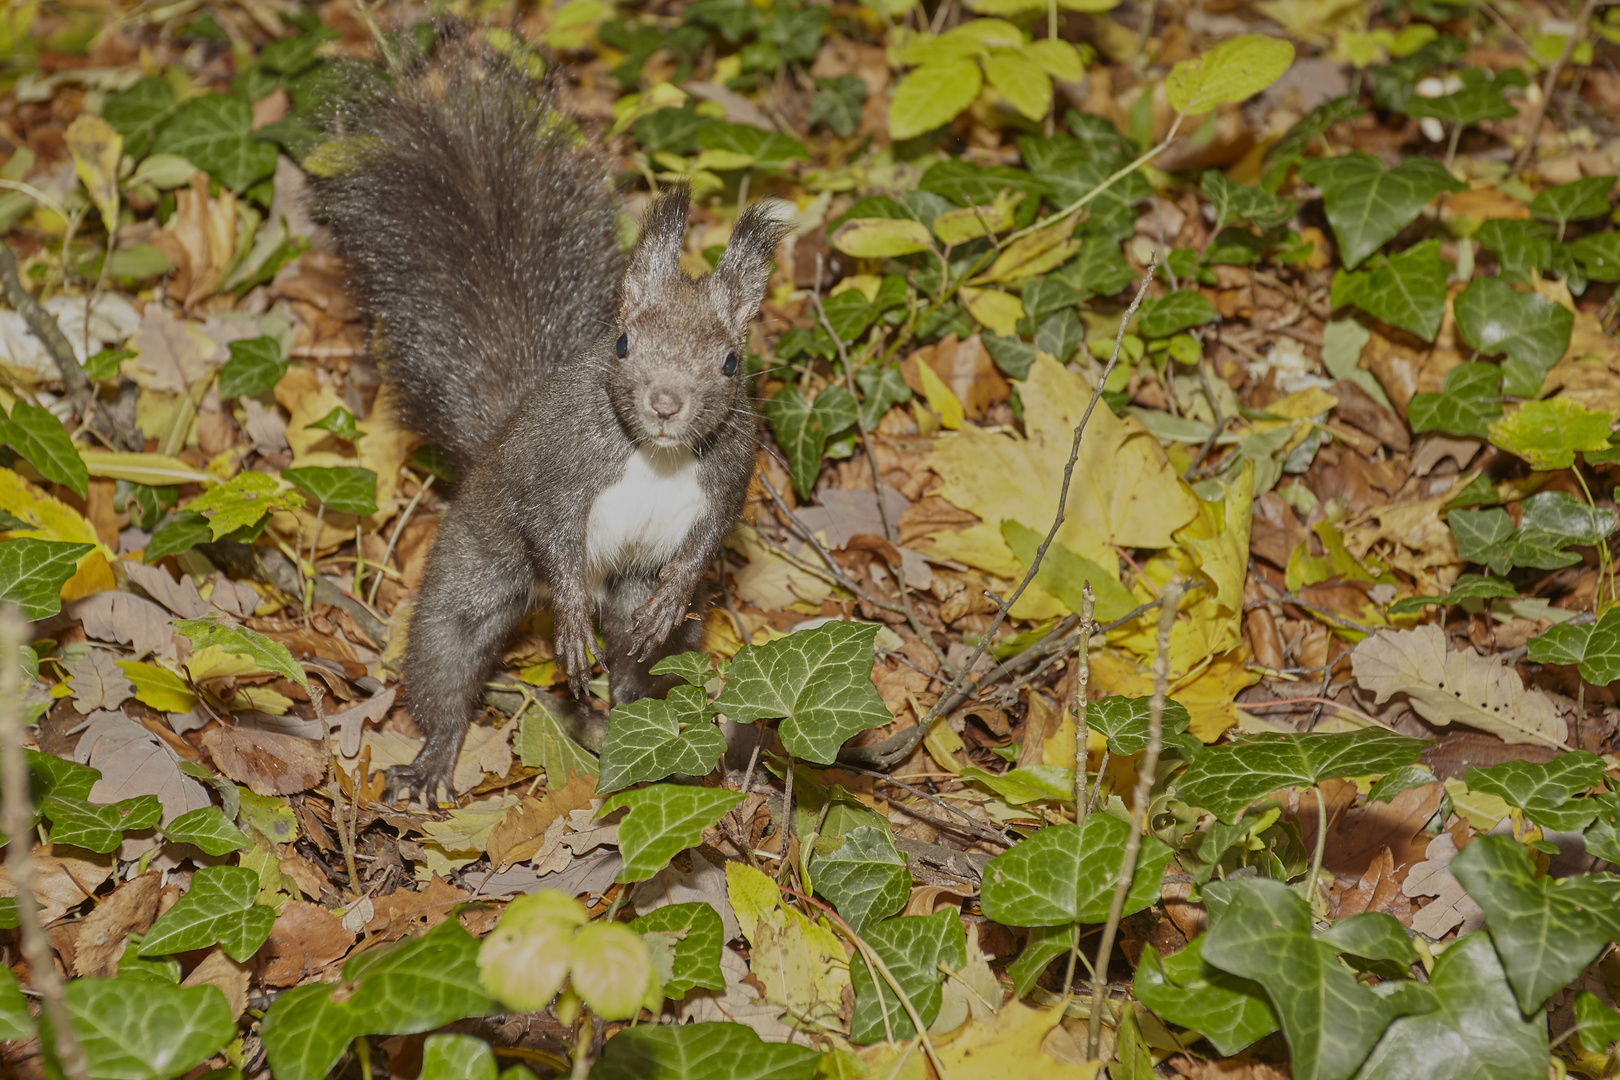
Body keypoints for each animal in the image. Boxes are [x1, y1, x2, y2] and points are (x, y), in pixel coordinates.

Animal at [312, 42, 793, 803]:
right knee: (448, 657)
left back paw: (647, 711)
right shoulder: (556, 466)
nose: (665, 404)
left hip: (634, 607)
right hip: (478, 567)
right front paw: (568, 617)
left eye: (729, 361)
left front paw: (676, 591)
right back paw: (435, 757)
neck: (654, 454)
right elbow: (549, 529)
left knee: (641, 656)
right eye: (622, 342)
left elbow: (708, 539)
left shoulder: (729, 470)